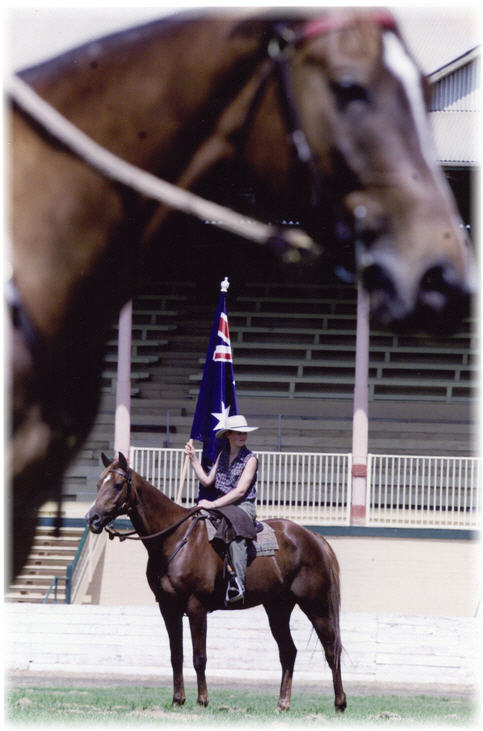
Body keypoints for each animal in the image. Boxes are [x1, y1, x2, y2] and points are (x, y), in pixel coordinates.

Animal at [85, 454, 346, 712]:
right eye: (98, 484)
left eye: (118, 484)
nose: (92, 518)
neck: (176, 538)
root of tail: (313, 537)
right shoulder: (168, 608)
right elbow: (176, 655)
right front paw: (178, 699)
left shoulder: (196, 606)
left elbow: (199, 657)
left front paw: (202, 700)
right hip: (278, 609)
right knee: (288, 652)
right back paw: (283, 704)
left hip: (317, 606)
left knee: (331, 649)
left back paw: (340, 703)